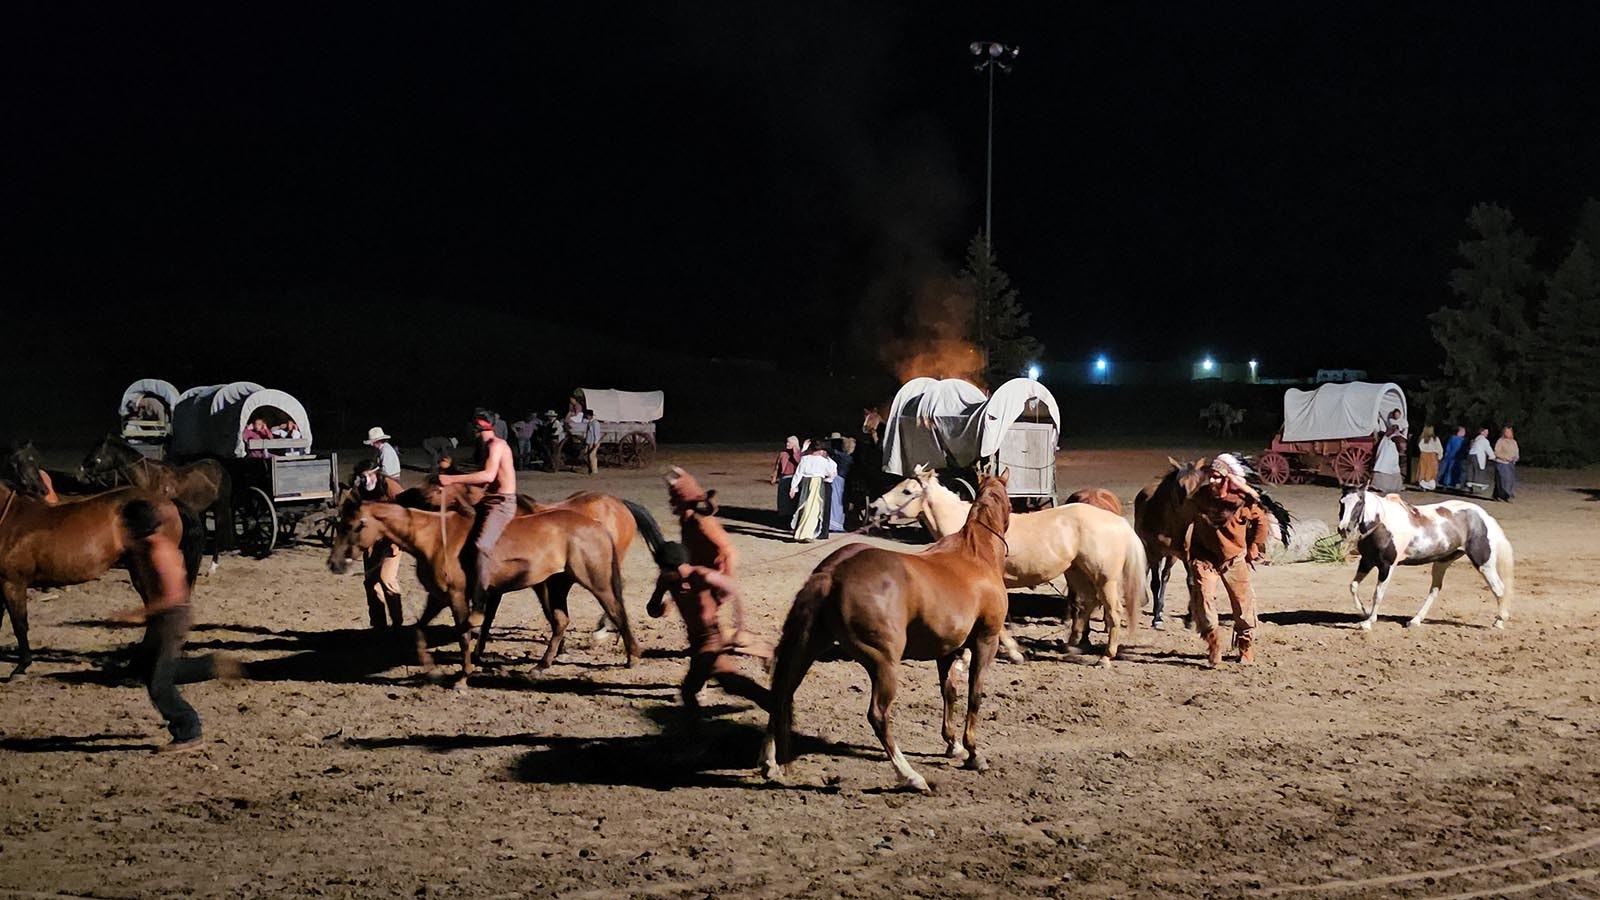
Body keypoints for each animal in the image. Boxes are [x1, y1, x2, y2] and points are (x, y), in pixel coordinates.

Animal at [78, 432, 232, 563]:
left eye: (96, 454)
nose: (80, 471)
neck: (150, 479)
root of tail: (219, 467)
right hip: (203, 510)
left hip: (220, 508)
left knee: (218, 534)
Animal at [764, 470, 1011, 791]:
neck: (975, 554)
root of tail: (832, 573)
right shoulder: (985, 641)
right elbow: (975, 695)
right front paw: (973, 752)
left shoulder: (946, 650)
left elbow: (949, 693)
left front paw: (953, 744)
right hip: (883, 662)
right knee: (878, 715)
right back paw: (911, 776)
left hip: (807, 648)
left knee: (781, 694)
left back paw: (770, 764)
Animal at [864, 464, 1152, 656]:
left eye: (907, 491)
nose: (874, 507)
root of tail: (1116, 521)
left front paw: (1012, 651)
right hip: (1079, 573)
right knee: (1086, 605)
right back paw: (1072, 645)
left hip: (1105, 579)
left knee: (1112, 612)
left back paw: (1106, 656)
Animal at [1337, 486, 1510, 627]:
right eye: (1341, 502)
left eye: (1359, 503)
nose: (1343, 529)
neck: (1383, 525)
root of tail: (1483, 516)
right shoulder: (1367, 561)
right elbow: (1353, 586)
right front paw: (1364, 612)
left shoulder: (1387, 566)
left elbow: (1378, 594)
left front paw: (1368, 622)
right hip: (1442, 562)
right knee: (1435, 590)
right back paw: (1415, 621)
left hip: (1483, 563)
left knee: (1499, 588)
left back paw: (1499, 622)